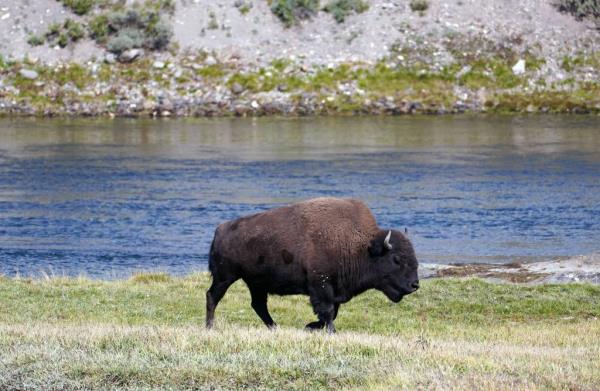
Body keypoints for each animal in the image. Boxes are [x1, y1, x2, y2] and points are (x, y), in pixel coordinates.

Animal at [206, 198, 422, 332]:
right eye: (396, 259)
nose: (415, 285)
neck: (360, 246)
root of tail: (220, 230)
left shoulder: (334, 290)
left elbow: (331, 312)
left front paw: (310, 326)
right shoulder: (321, 286)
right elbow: (327, 312)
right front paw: (329, 331)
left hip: (256, 284)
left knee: (258, 305)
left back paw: (275, 327)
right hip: (225, 277)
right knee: (212, 296)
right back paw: (210, 327)